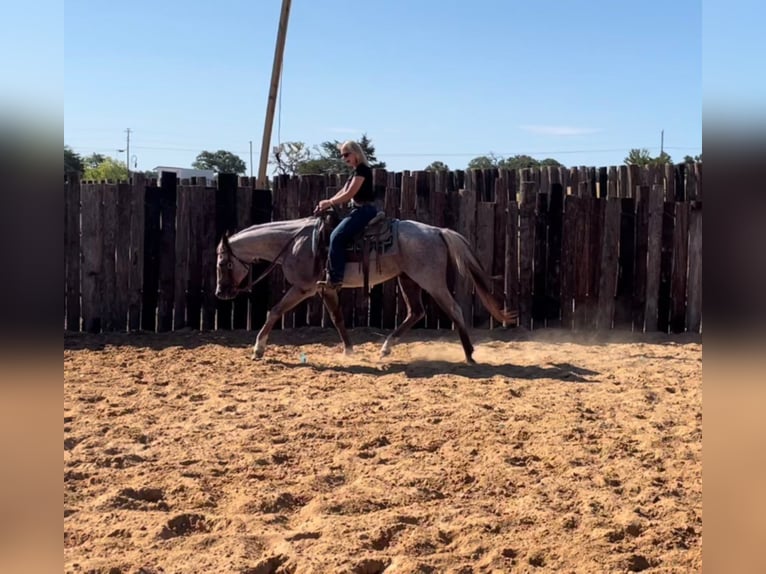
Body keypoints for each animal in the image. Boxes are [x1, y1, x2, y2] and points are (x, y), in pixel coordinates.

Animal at [213, 212, 520, 364]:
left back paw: (469, 354)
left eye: (223, 264)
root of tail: (436, 231)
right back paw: (385, 348)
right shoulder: (326, 289)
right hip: (408, 279)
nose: (220, 293)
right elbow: (338, 319)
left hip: (430, 280)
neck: (293, 242)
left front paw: (258, 349)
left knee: (453, 308)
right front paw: (349, 351)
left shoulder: (303, 288)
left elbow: (274, 311)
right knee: (416, 312)